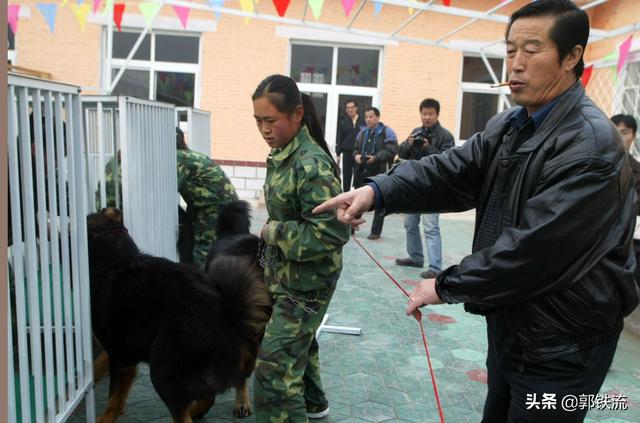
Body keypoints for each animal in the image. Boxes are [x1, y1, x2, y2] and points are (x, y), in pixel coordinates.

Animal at [87, 204, 270, 422]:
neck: (116, 258)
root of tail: (228, 317)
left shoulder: (120, 355)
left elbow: (113, 399)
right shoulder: (122, 353)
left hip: (163, 371)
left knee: (184, 411)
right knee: (209, 396)